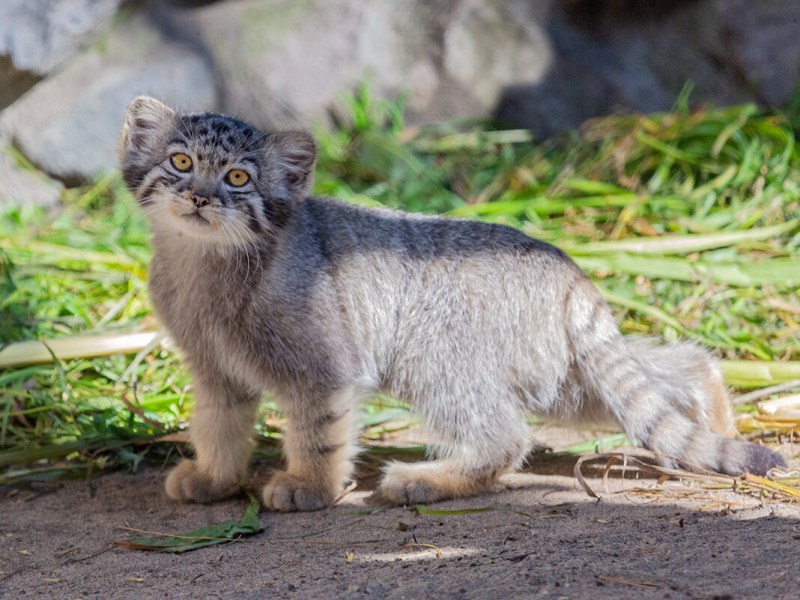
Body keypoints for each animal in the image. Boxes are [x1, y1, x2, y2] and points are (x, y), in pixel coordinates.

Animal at [119, 98, 780, 510]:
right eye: (181, 162)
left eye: (238, 178)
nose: (202, 197)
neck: (206, 266)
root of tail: (569, 269)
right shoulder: (215, 370)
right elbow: (218, 427)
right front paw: (214, 479)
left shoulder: (323, 367)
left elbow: (318, 432)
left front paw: (311, 487)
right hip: (565, 377)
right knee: (675, 371)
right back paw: (718, 423)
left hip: (432, 352)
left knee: (505, 436)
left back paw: (424, 481)